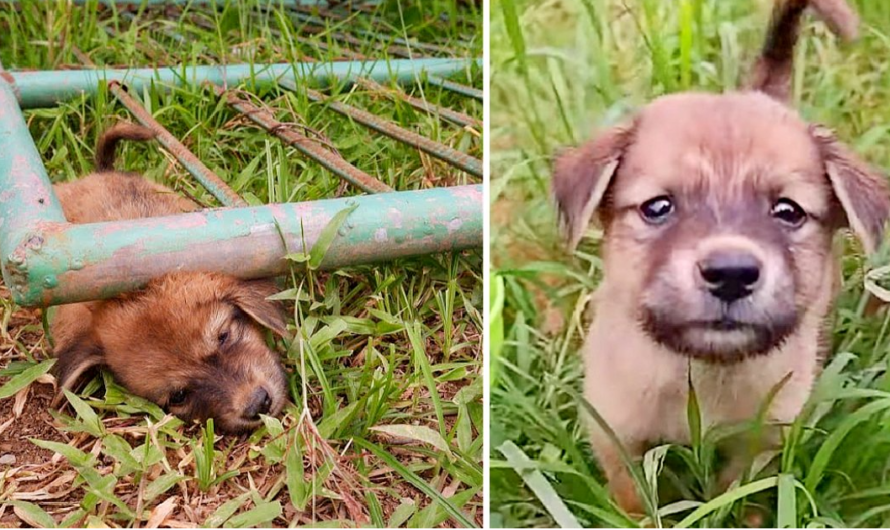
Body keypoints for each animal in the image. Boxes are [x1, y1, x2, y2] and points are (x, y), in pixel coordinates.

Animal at [552, 0, 884, 512]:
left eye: (788, 211)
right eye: (658, 207)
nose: (731, 274)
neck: (702, 371)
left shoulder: (764, 439)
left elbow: (736, 493)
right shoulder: (615, 433)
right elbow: (635, 498)